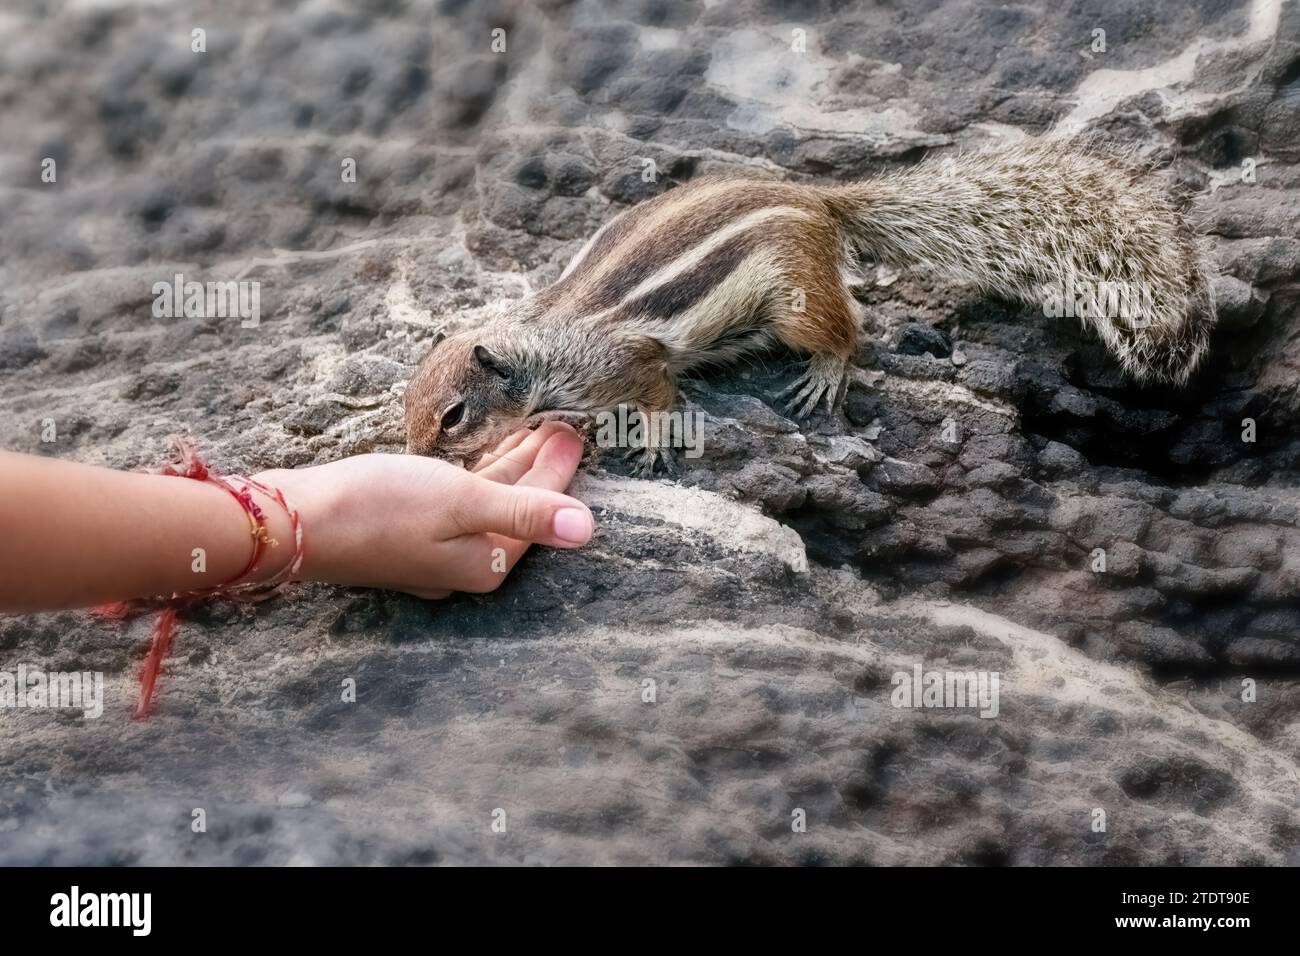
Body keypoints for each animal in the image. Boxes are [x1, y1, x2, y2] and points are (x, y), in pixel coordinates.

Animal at [403, 137, 1216, 473]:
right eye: (411, 408)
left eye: (454, 416)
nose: (416, 458)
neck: (541, 345)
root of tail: (820, 200)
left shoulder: (629, 360)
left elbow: (660, 392)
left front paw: (656, 440)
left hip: (795, 298)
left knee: (847, 328)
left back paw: (828, 372)